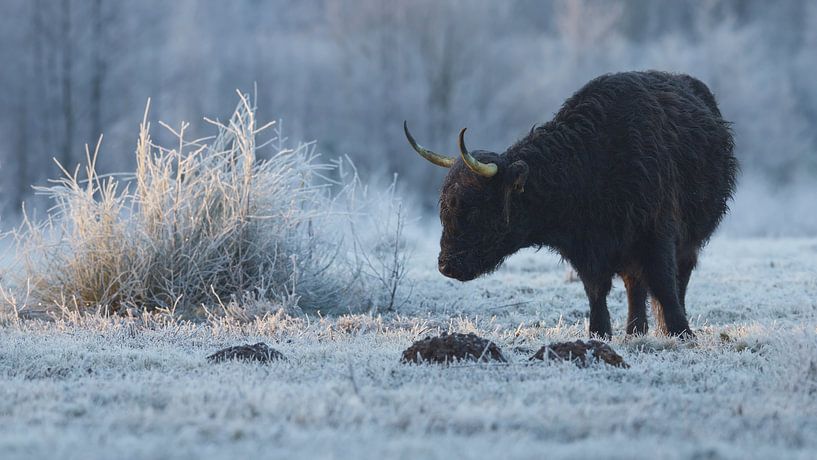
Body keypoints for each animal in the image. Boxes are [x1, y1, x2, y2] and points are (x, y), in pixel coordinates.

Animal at [404, 71, 736, 338]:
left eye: (473, 209)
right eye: (444, 208)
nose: (446, 265)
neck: (589, 164)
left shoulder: (657, 232)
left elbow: (664, 284)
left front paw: (682, 333)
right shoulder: (586, 248)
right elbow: (596, 290)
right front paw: (599, 334)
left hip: (689, 239)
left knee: (678, 278)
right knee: (635, 285)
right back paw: (634, 331)